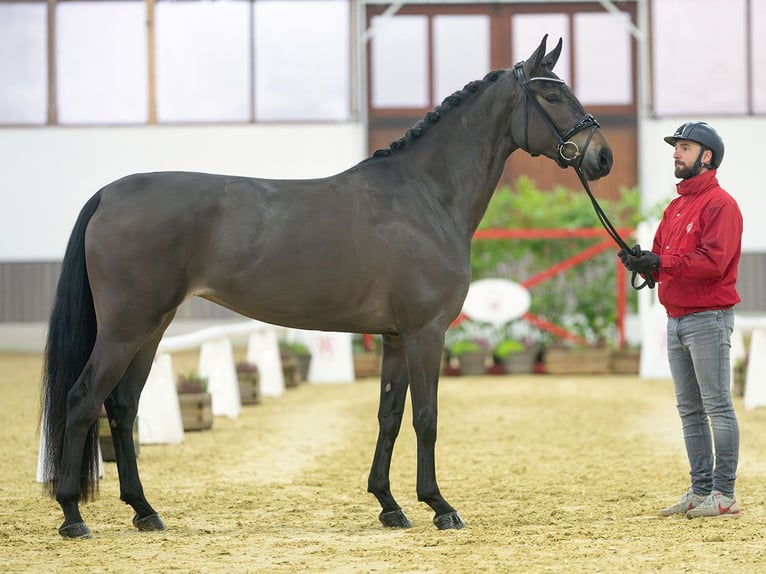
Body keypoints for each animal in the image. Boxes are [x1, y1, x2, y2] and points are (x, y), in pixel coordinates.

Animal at [40, 36, 612, 540]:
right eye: (552, 95)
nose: (602, 157)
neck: (425, 197)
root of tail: (109, 195)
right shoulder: (426, 332)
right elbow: (426, 417)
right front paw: (440, 506)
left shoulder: (396, 337)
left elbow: (389, 415)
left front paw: (389, 505)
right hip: (125, 328)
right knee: (84, 399)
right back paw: (72, 514)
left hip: (151, 327)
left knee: (123, 407)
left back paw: (144, 511)